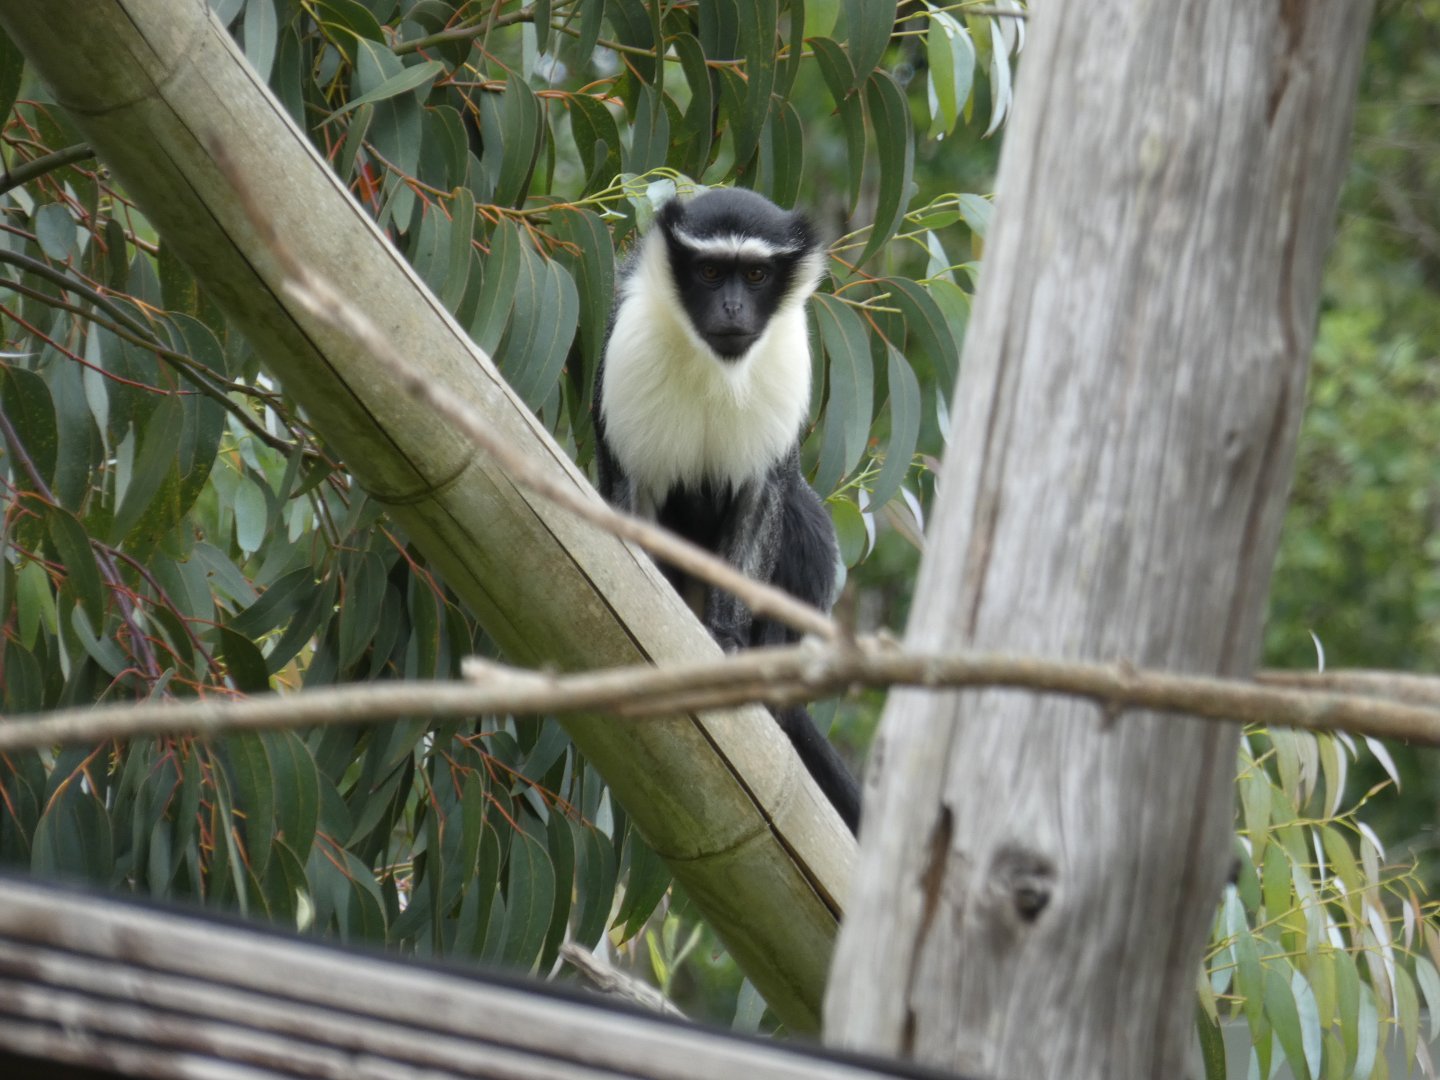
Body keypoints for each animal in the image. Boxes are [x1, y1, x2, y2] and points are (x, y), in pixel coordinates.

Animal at [591, 187, 861, 833]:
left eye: (756, 274)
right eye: (711, 272)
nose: (734, 308)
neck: (713, 365)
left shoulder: (786, 368)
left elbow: (764, 500)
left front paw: (729, 640)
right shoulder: (627, 356)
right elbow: (627, 497)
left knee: (805, 519)